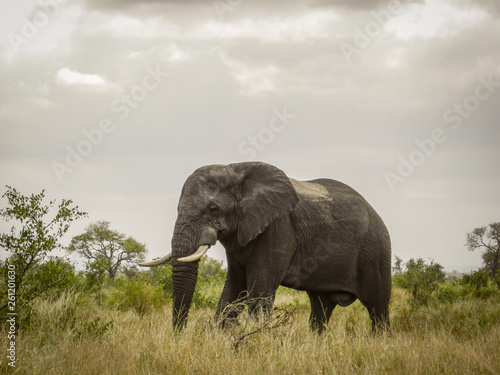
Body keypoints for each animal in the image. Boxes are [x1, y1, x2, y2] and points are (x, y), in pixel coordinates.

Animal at [139, 163, 392, 334]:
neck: (236, 171)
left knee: (378, 307)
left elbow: (259, 289)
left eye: (213, 208)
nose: (179, 335)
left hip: (376, 251)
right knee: (321, 308)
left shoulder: (277, 228)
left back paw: (379, 341)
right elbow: (234, 288)